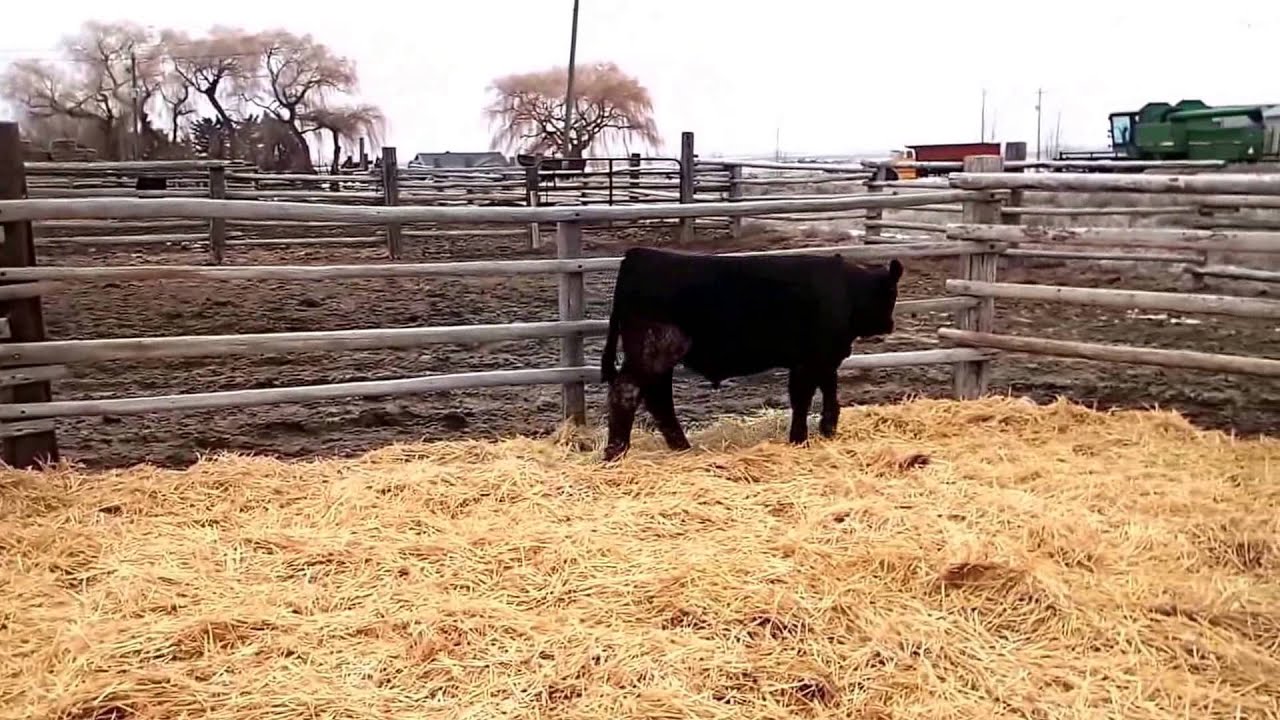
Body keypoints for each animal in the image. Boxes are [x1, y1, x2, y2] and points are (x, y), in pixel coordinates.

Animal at [598, 247, 903, 461]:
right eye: (891, 293)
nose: (889, 324)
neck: (847, 290)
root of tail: (637, 255)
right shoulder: (810, 359)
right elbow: (803, 398)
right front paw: (800, 439)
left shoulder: (822, 358)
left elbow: (828, 391)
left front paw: (826, 430)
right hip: (655, 347)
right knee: (628, 392)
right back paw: (616, 453)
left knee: (658, 398)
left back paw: (681, 447)